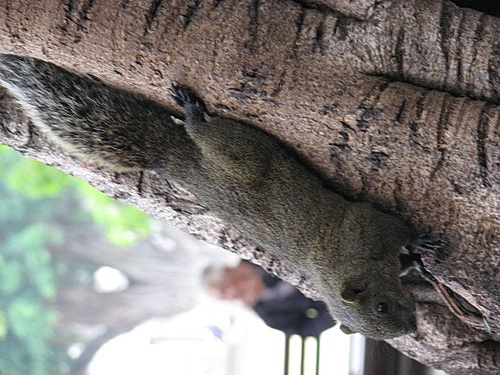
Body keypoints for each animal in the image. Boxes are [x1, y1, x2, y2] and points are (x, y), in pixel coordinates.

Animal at [0, 55, 416, 340]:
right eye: (379, 310)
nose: (411, 329)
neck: (346, 268)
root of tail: (171, 157)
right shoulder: (368, 224)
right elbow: (399, 227)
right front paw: (420, 247)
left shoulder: (370, 231)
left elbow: (402, 245)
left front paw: (414, 261)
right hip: (240, 148)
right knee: (204, 133)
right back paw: (192, 113)